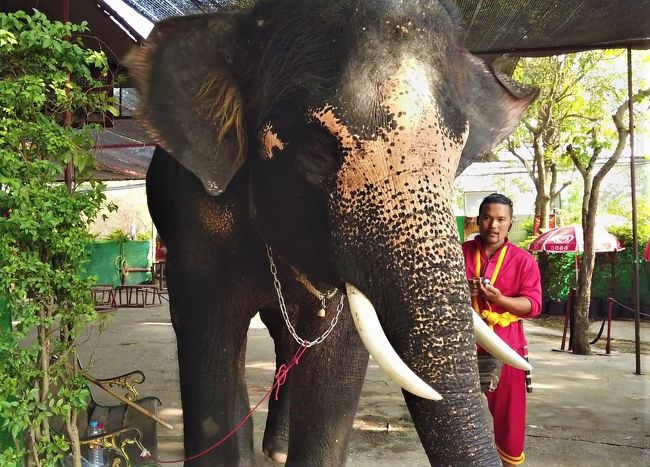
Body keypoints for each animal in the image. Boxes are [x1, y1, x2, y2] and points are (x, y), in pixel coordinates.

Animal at [125, 1, 532, 466]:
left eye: (458, 156)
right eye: (316, 151)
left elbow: (334, 360)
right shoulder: (193, 223)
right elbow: (209, 338)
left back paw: (276, 450)